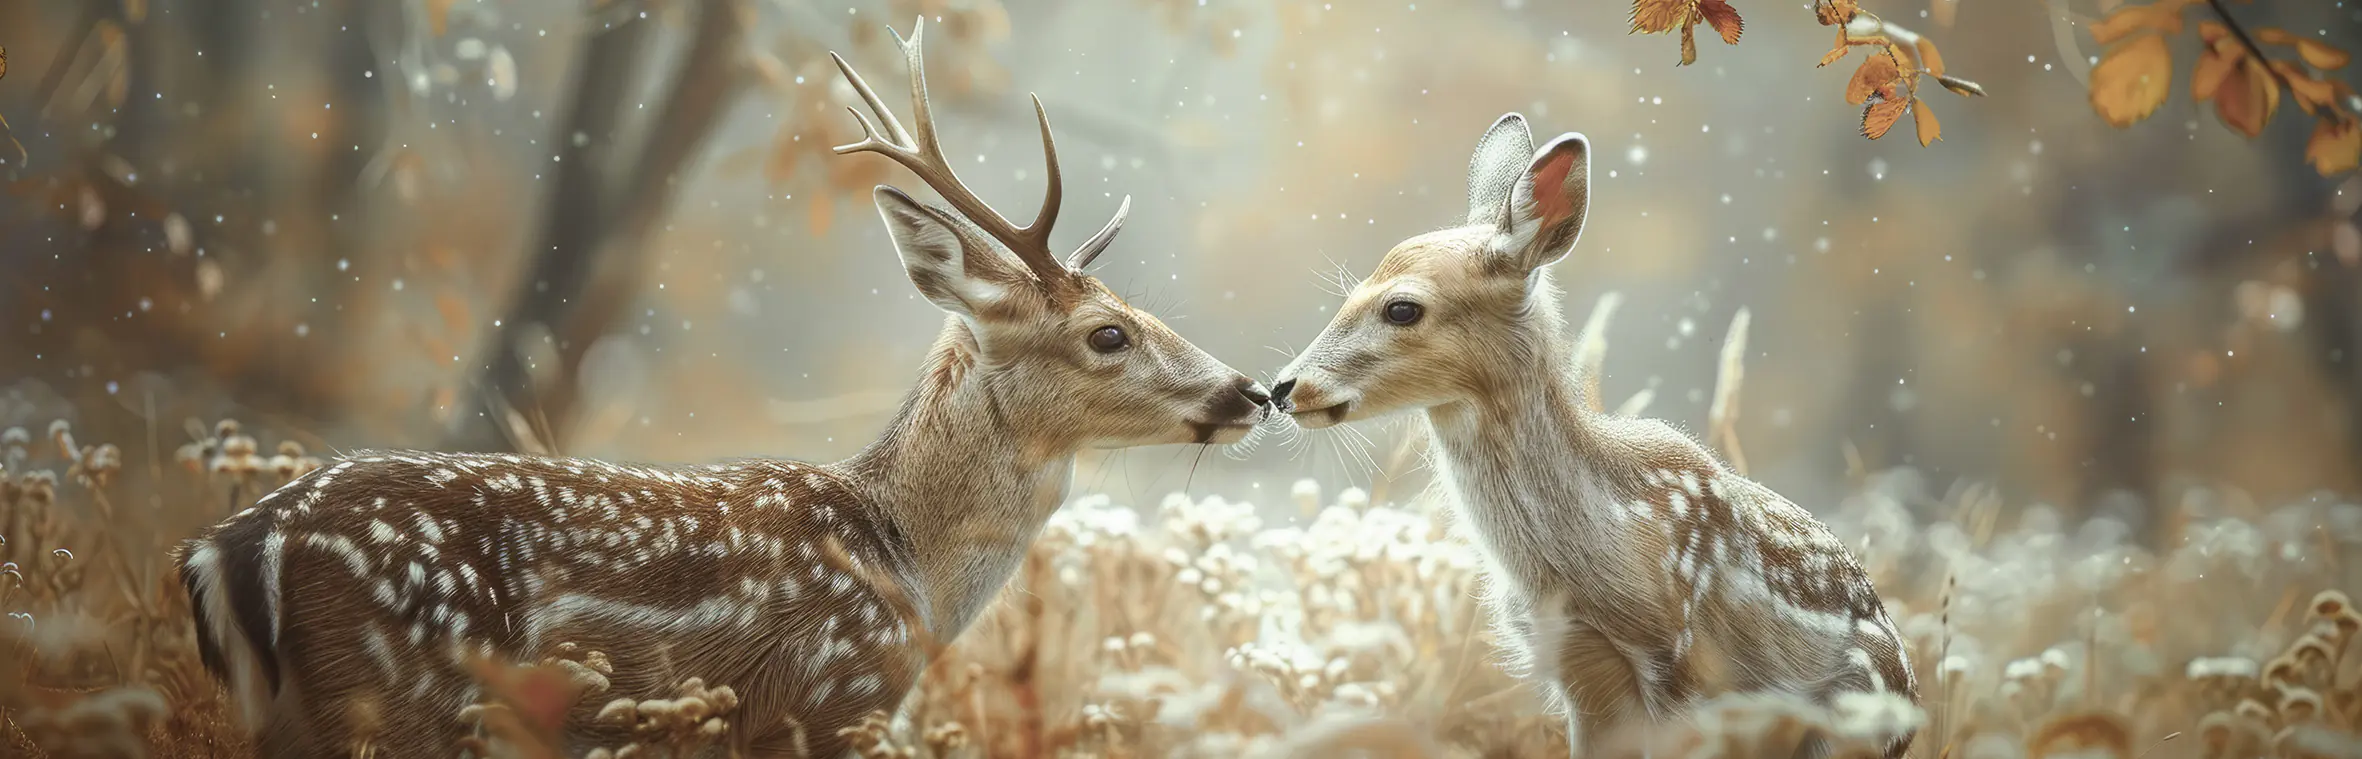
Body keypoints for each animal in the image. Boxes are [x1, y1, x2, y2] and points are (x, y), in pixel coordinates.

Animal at [172, 21, 1273, 758]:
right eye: (1107, 334)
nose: (1252, 392)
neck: (908, 570)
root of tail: (232, 548)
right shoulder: (829, 697)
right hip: (394, 691)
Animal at [1269, 114, 1918, 758]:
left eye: (1402, 308)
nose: (1284, 387)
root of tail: (1912, 704)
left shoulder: (1682, 659)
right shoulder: (1575, 666)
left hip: (1852, 714)